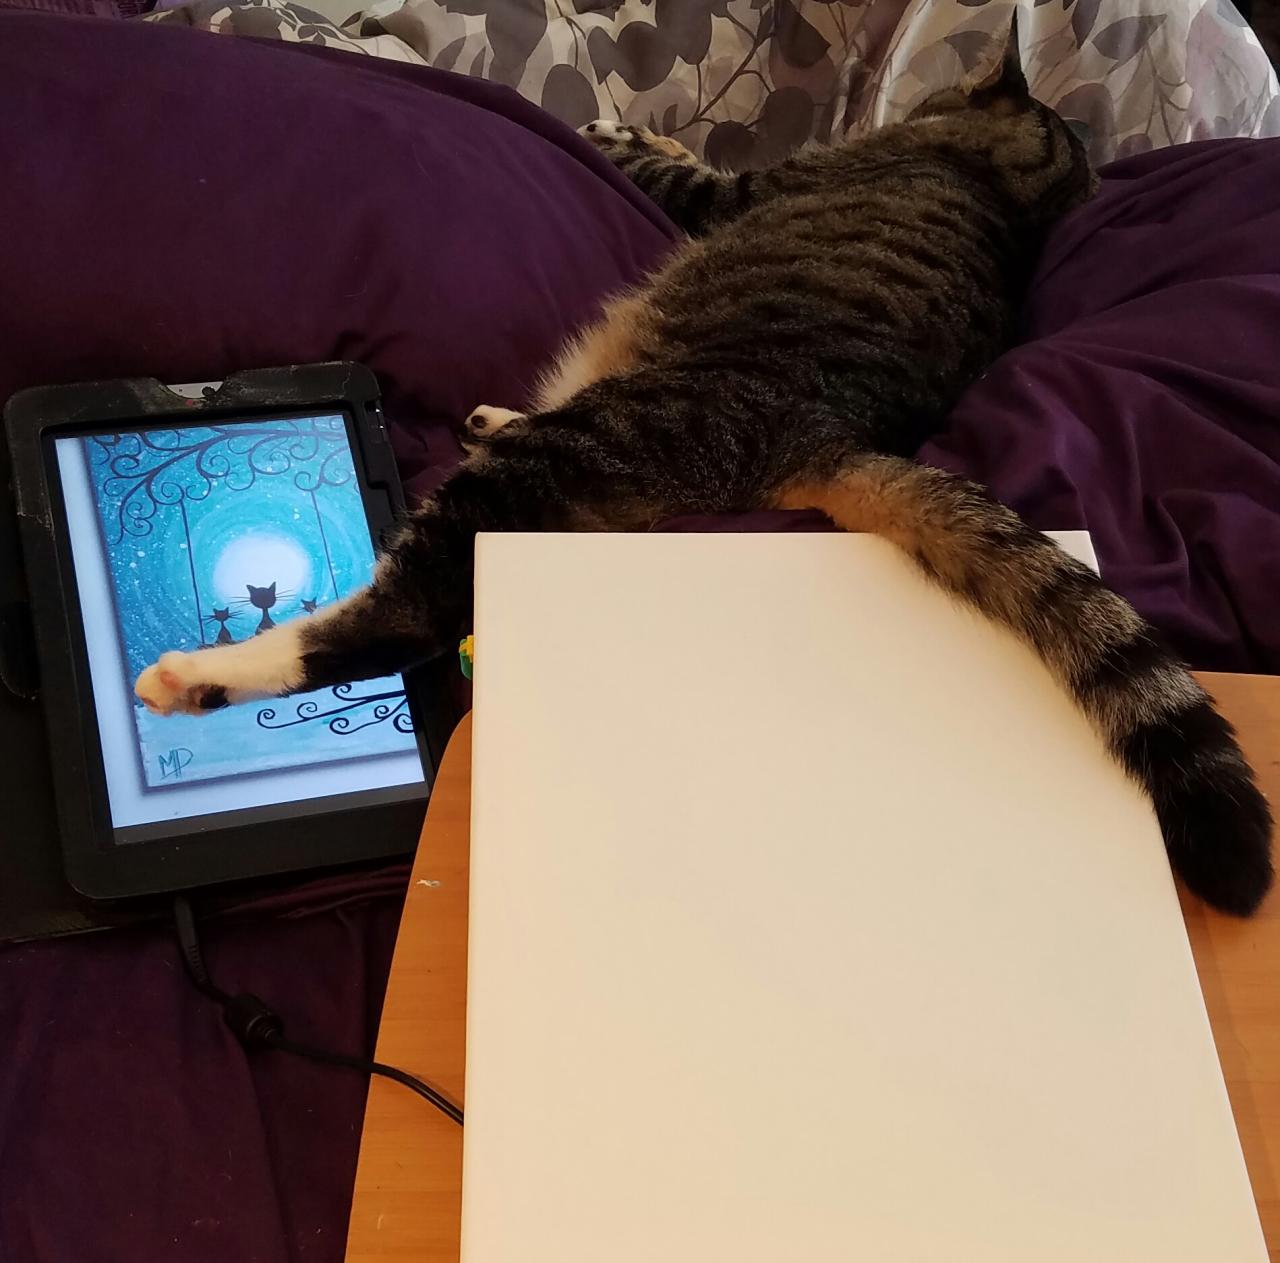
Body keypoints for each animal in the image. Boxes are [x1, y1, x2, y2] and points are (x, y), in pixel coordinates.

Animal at [135, 29, 1272, 916]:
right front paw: (642, 129)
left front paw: (618, 136)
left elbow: (685, 171)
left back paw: (192, 676)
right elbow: (676, 145)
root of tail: (819, 428)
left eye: (938, 97)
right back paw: (492, 417)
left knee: (406, 608)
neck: (1003, 191)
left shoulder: (747, 189)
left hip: (566, 458)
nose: (923, 93)